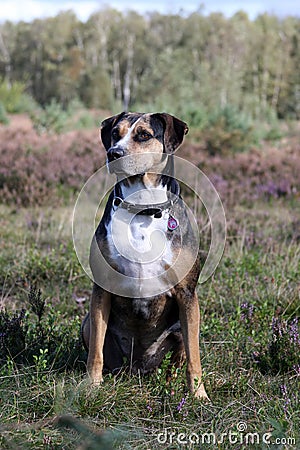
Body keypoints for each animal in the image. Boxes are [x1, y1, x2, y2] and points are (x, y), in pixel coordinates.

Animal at [81, 110, 209, 400]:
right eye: (115, 133)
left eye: (144, 135)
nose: (114, 153)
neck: (143, 209)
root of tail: (139, 368)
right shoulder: (101, 290)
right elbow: (95, 352)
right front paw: (92, 386)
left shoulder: (187, 294)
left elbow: (194, 357)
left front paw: (198, 395)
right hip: (86, 323)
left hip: (184, 325)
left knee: (179, 358)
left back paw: (171, 386)